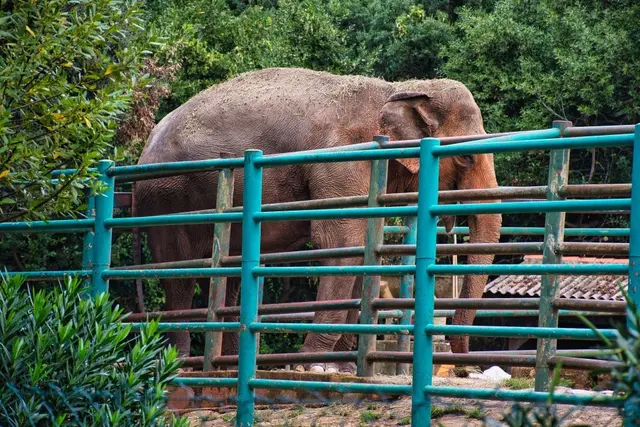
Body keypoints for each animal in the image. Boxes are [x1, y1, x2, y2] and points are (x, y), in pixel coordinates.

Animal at [134, 67, 502, 372]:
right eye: (467, 158)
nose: (464, 365)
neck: (397, 89)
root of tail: (145, 147)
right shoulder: (340, 163)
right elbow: (342, 244)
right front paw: (313, 366)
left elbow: (365, 248)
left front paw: (342, 368)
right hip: (168, 197)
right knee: (179, 274)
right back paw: (180, 365)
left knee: (231, 273)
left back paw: (227, 365)